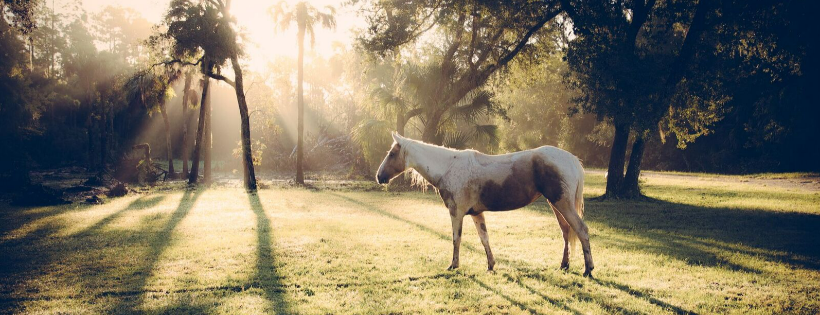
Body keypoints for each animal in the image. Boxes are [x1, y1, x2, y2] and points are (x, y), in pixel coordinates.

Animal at [374, 132, 592, 278]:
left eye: (392, 154)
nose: (379, 176)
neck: (448, 167)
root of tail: (571, 159)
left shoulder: (457, 213)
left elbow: (456, 239)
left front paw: (454, 265)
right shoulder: (476, 213)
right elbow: (484, 239)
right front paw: (490, 265)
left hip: (563, 204)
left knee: (581, 230)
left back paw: (588, 269)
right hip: (556, 205)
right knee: (566, 232)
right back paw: (564, 265)